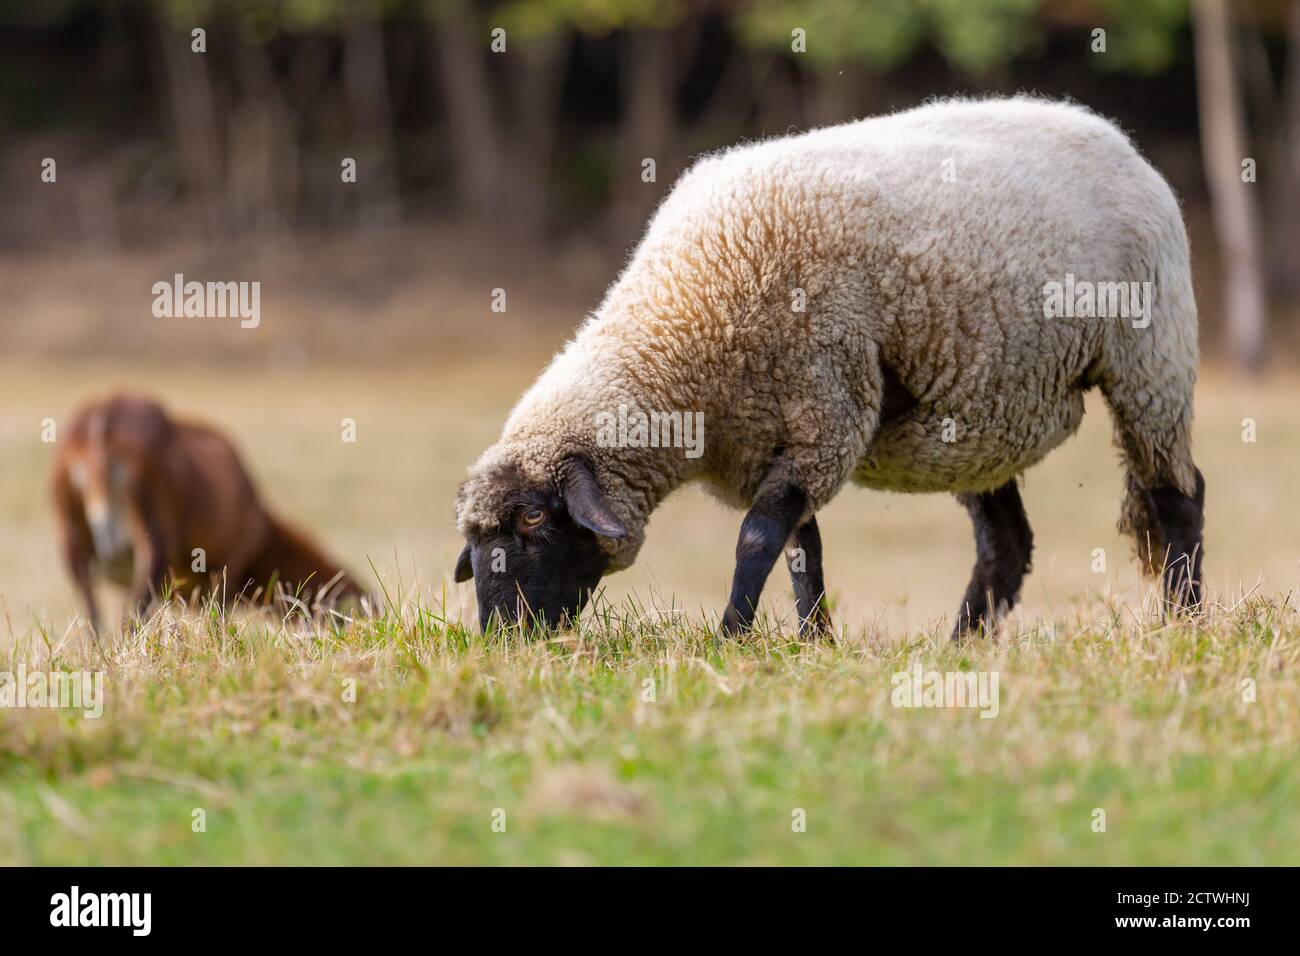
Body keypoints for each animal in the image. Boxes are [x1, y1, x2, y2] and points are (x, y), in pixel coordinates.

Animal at [455, 96, 1204, 637]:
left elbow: (758, 539)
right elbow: (799, 550)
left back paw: (1185, 624)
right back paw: (961, 648)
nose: (502, 639)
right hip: (983, 412)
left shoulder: (825, 416)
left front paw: (731, 638)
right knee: (1007, 546)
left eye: (532, 519)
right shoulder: (778, 443)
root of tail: (1115, 138)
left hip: (1149, 359)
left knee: (1178, 495)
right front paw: (814, 643)